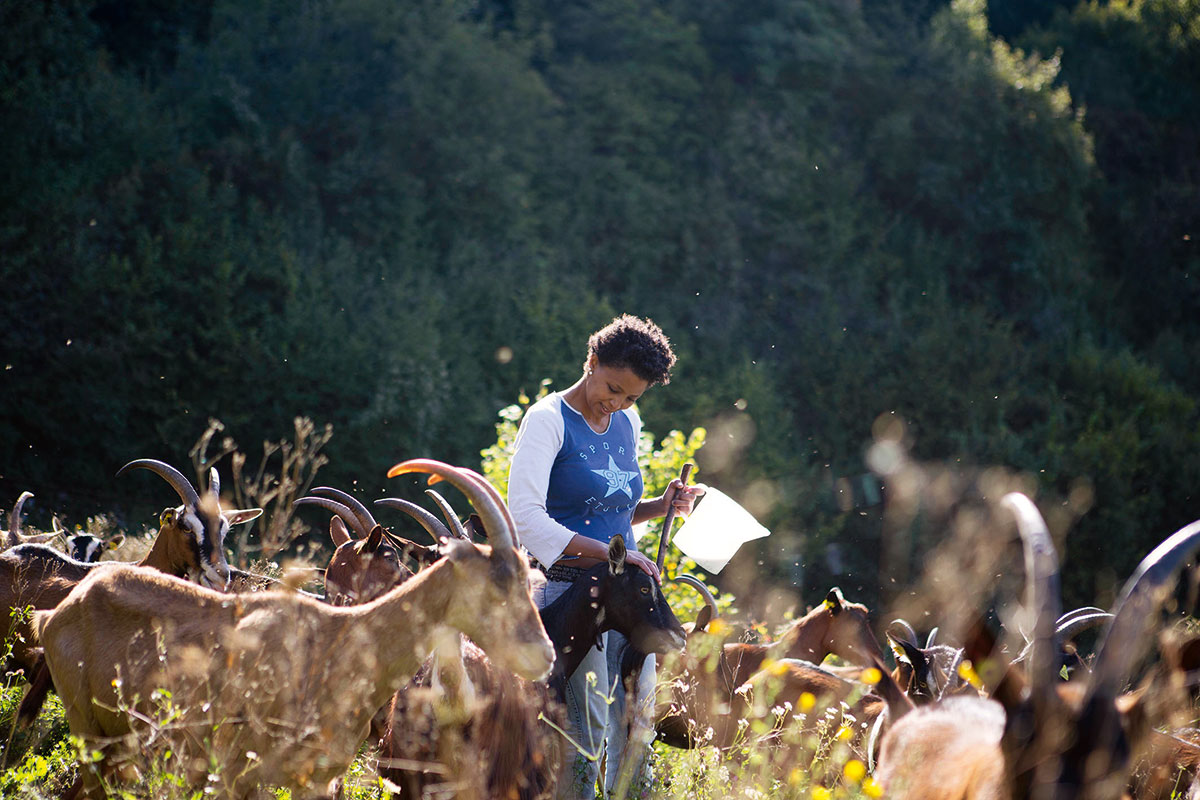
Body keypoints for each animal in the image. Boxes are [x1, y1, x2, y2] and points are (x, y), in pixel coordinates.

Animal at [32, 455, 549, 800]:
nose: (543, 655)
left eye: (530, 578)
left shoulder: (317, 780)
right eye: (496, 581)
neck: (336, 641)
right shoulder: (238, 776)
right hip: (87, 731)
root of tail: (62, 609)